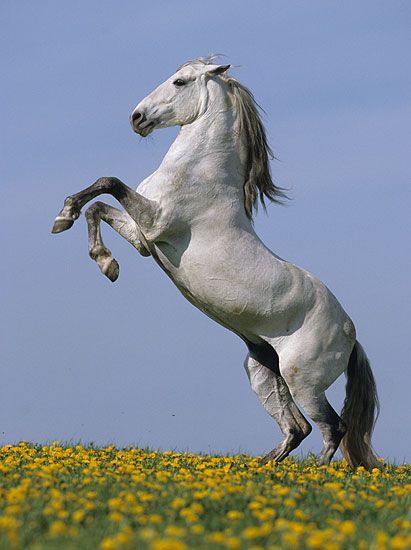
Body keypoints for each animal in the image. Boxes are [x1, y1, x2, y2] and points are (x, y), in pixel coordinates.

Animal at [53, 57, 382, 470]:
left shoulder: (154, 221)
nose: (137, 117)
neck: (199, 172)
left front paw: (90, 246)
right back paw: (262, 466)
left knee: (332, 428)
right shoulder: (143, 237)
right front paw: (90, 246)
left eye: (179, 82)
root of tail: (351, 334)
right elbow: (96, 205)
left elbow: (107, 182)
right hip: (262, 370)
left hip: (302, 379)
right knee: (297, 428)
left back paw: (315, 473)